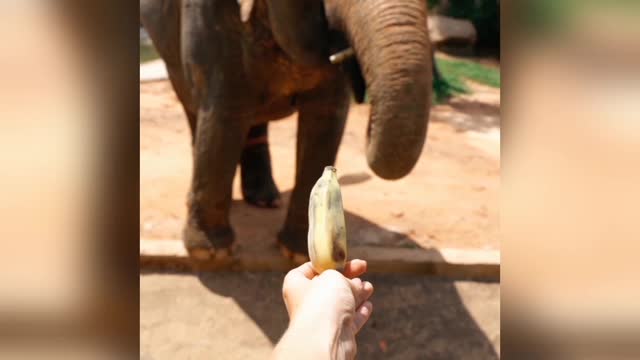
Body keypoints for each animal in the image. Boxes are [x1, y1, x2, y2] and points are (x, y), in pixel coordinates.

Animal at [139, 0, 430, 260]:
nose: (367, 109)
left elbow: (325, 117)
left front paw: (296, 254)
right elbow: (224, 111)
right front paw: (211, 253)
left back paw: (266, 199)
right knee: (194, 105)